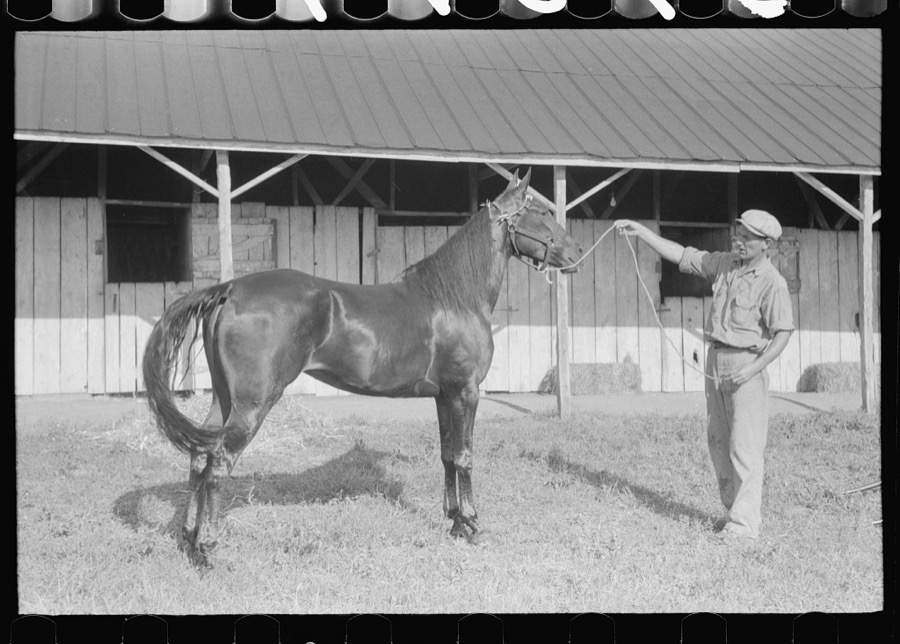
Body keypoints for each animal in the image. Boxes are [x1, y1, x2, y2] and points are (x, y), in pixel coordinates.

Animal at [142, 169, 583, 567]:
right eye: (540, 213)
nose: (577, 254)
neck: (454, 297)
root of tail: (229, 290)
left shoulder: (444, 395)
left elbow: (446, 454)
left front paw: (455, 522)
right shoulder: (466, 391)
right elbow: (464, 456)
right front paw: (473, 524)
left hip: (223, 399)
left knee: (199, 458)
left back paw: (189, 540)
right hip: (252, 405)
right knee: (218, 464)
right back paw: (209, 551)